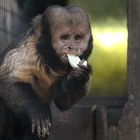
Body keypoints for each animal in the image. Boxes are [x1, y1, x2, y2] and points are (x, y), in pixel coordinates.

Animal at [0, 4, 93, 140]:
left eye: (77, 38)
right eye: (65, 38)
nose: (72, 48)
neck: (48, 60)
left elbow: (62, 102)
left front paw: (79, 77)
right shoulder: (27, 50)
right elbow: (6, 81)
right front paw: (38, 111)